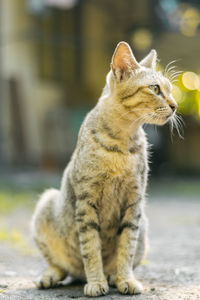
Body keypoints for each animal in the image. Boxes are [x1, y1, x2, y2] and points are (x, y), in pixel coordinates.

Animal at [31, 41, 178, 296]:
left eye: (170, 89)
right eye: (155, 89)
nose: (175, 106)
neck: (122, 142)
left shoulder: (134, 202)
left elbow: (126, 247)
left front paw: (124, 278)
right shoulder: (86, 202)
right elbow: (90, 248)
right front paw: (95, 281)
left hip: (144, 226)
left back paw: (112, 276)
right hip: (46, 204)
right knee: (60, 265)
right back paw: (51, 276)